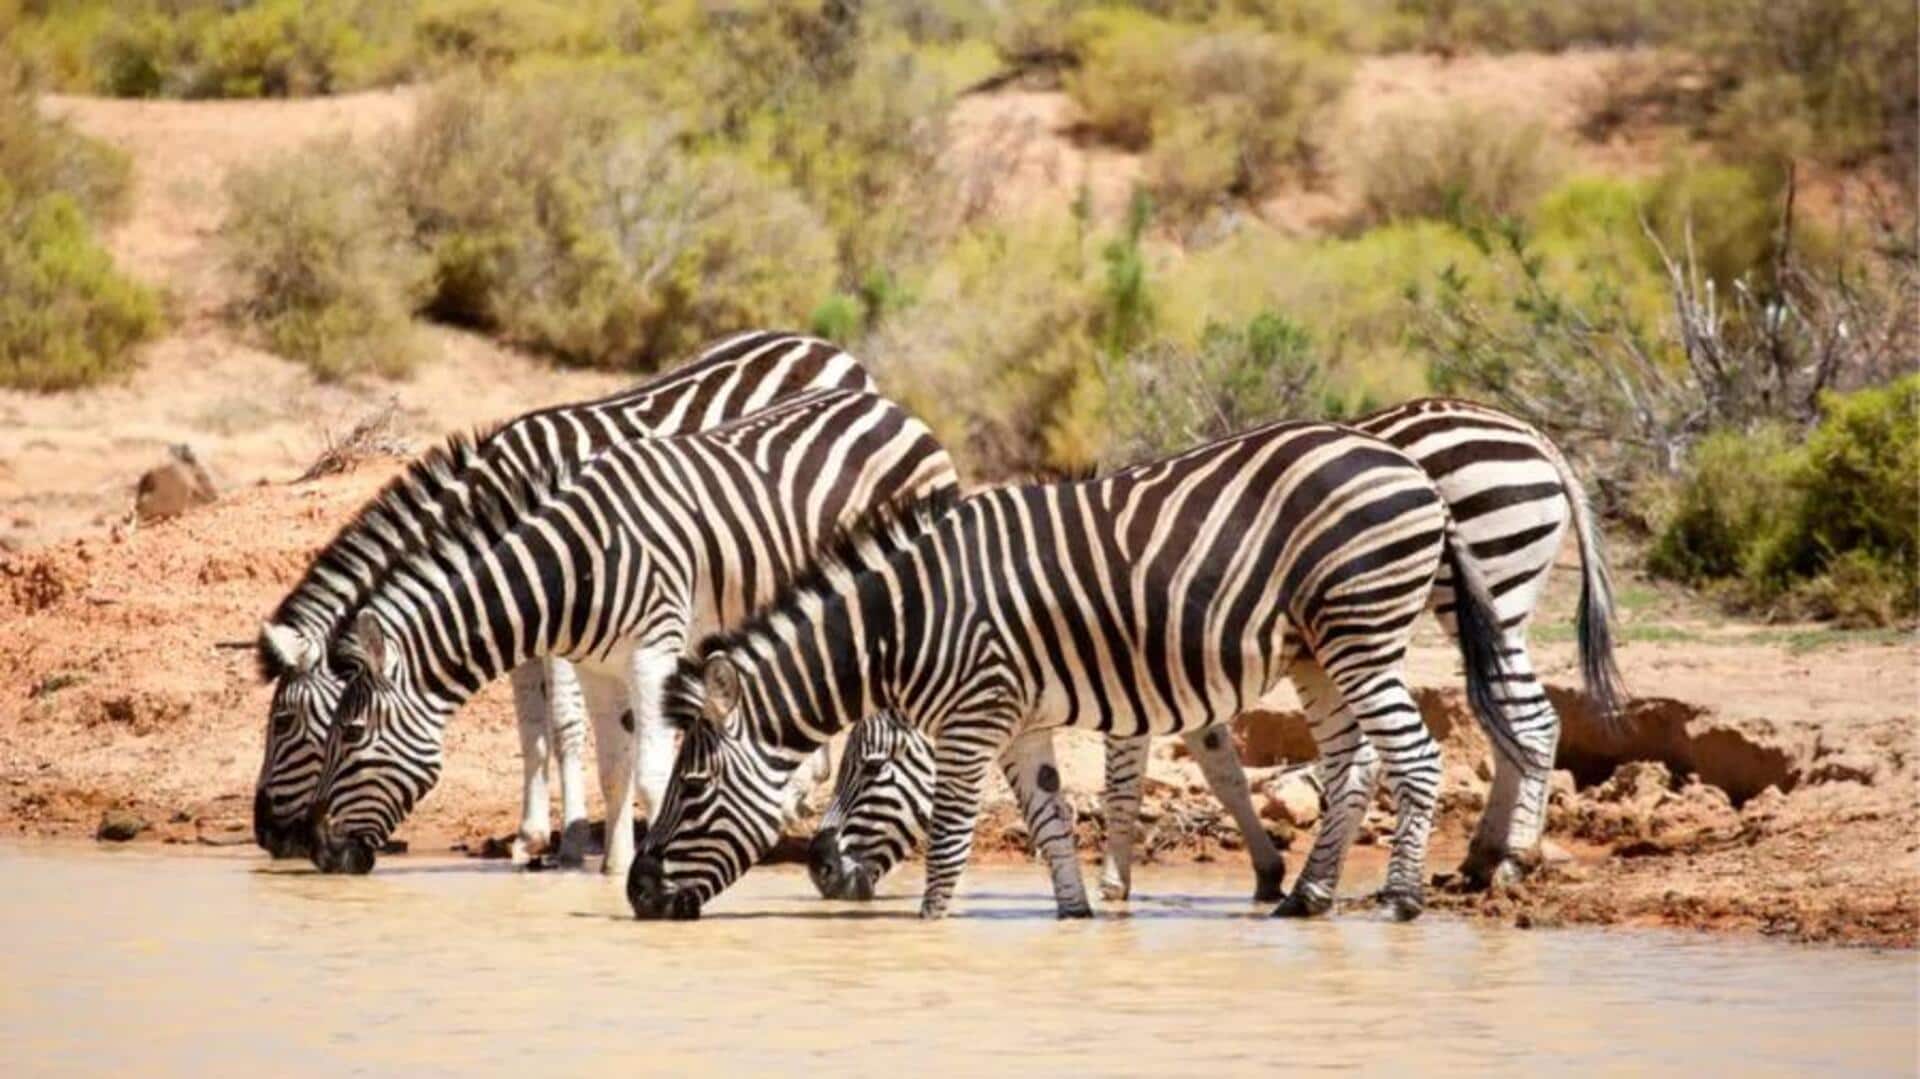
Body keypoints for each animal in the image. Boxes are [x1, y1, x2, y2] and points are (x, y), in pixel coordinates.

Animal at [253, 330, 873, 871]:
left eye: (283, 721)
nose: (268, 835)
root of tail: (825, 346)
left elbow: (564, 722)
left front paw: (570, 838)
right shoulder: (522, 622)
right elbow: (532, 725)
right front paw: (531, 835)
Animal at [629, 419, 1515, 921]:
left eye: (693, 787)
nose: (636, 894)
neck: (909, 620)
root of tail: (1414, 471)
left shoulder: (970, 720)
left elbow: (949, 837)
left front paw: (931, 926)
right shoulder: (1018, 720)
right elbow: (1051, 817)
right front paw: (1076, 913)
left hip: (1362, 630)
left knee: (1415, 755)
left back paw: (1402, 899)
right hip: (1319, 651)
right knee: (1351, 761)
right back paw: (1305, 896)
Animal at [806, 398, 1622, 904]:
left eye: (868, 766)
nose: (818, 871)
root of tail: (1533, 434)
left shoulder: (1131, 668)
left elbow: (1125, 779)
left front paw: (1115, 884)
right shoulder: (1174, 670)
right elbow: (1221, 767)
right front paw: (1266, 871)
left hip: (1488, 593)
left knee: (1531, 720)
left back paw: (1510, 860)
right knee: (1504, 720)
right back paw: (1483, 857)